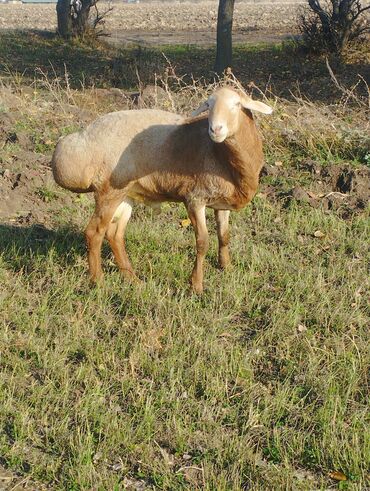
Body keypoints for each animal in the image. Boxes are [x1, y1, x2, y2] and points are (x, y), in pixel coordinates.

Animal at [52, 87, 272, 294]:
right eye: (208, 105)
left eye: (237, 104)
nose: (215, 129)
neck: (220, 155)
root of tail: (76, 140)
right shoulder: (194, 199)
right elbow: (202, 242)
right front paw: (196, 286)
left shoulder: (221, 204)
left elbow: (224, 236)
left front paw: (226, 268)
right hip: (108, 190)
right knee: (94, 233)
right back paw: (98, 282)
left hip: (125, 194)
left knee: (115, 234)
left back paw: (133, 279)